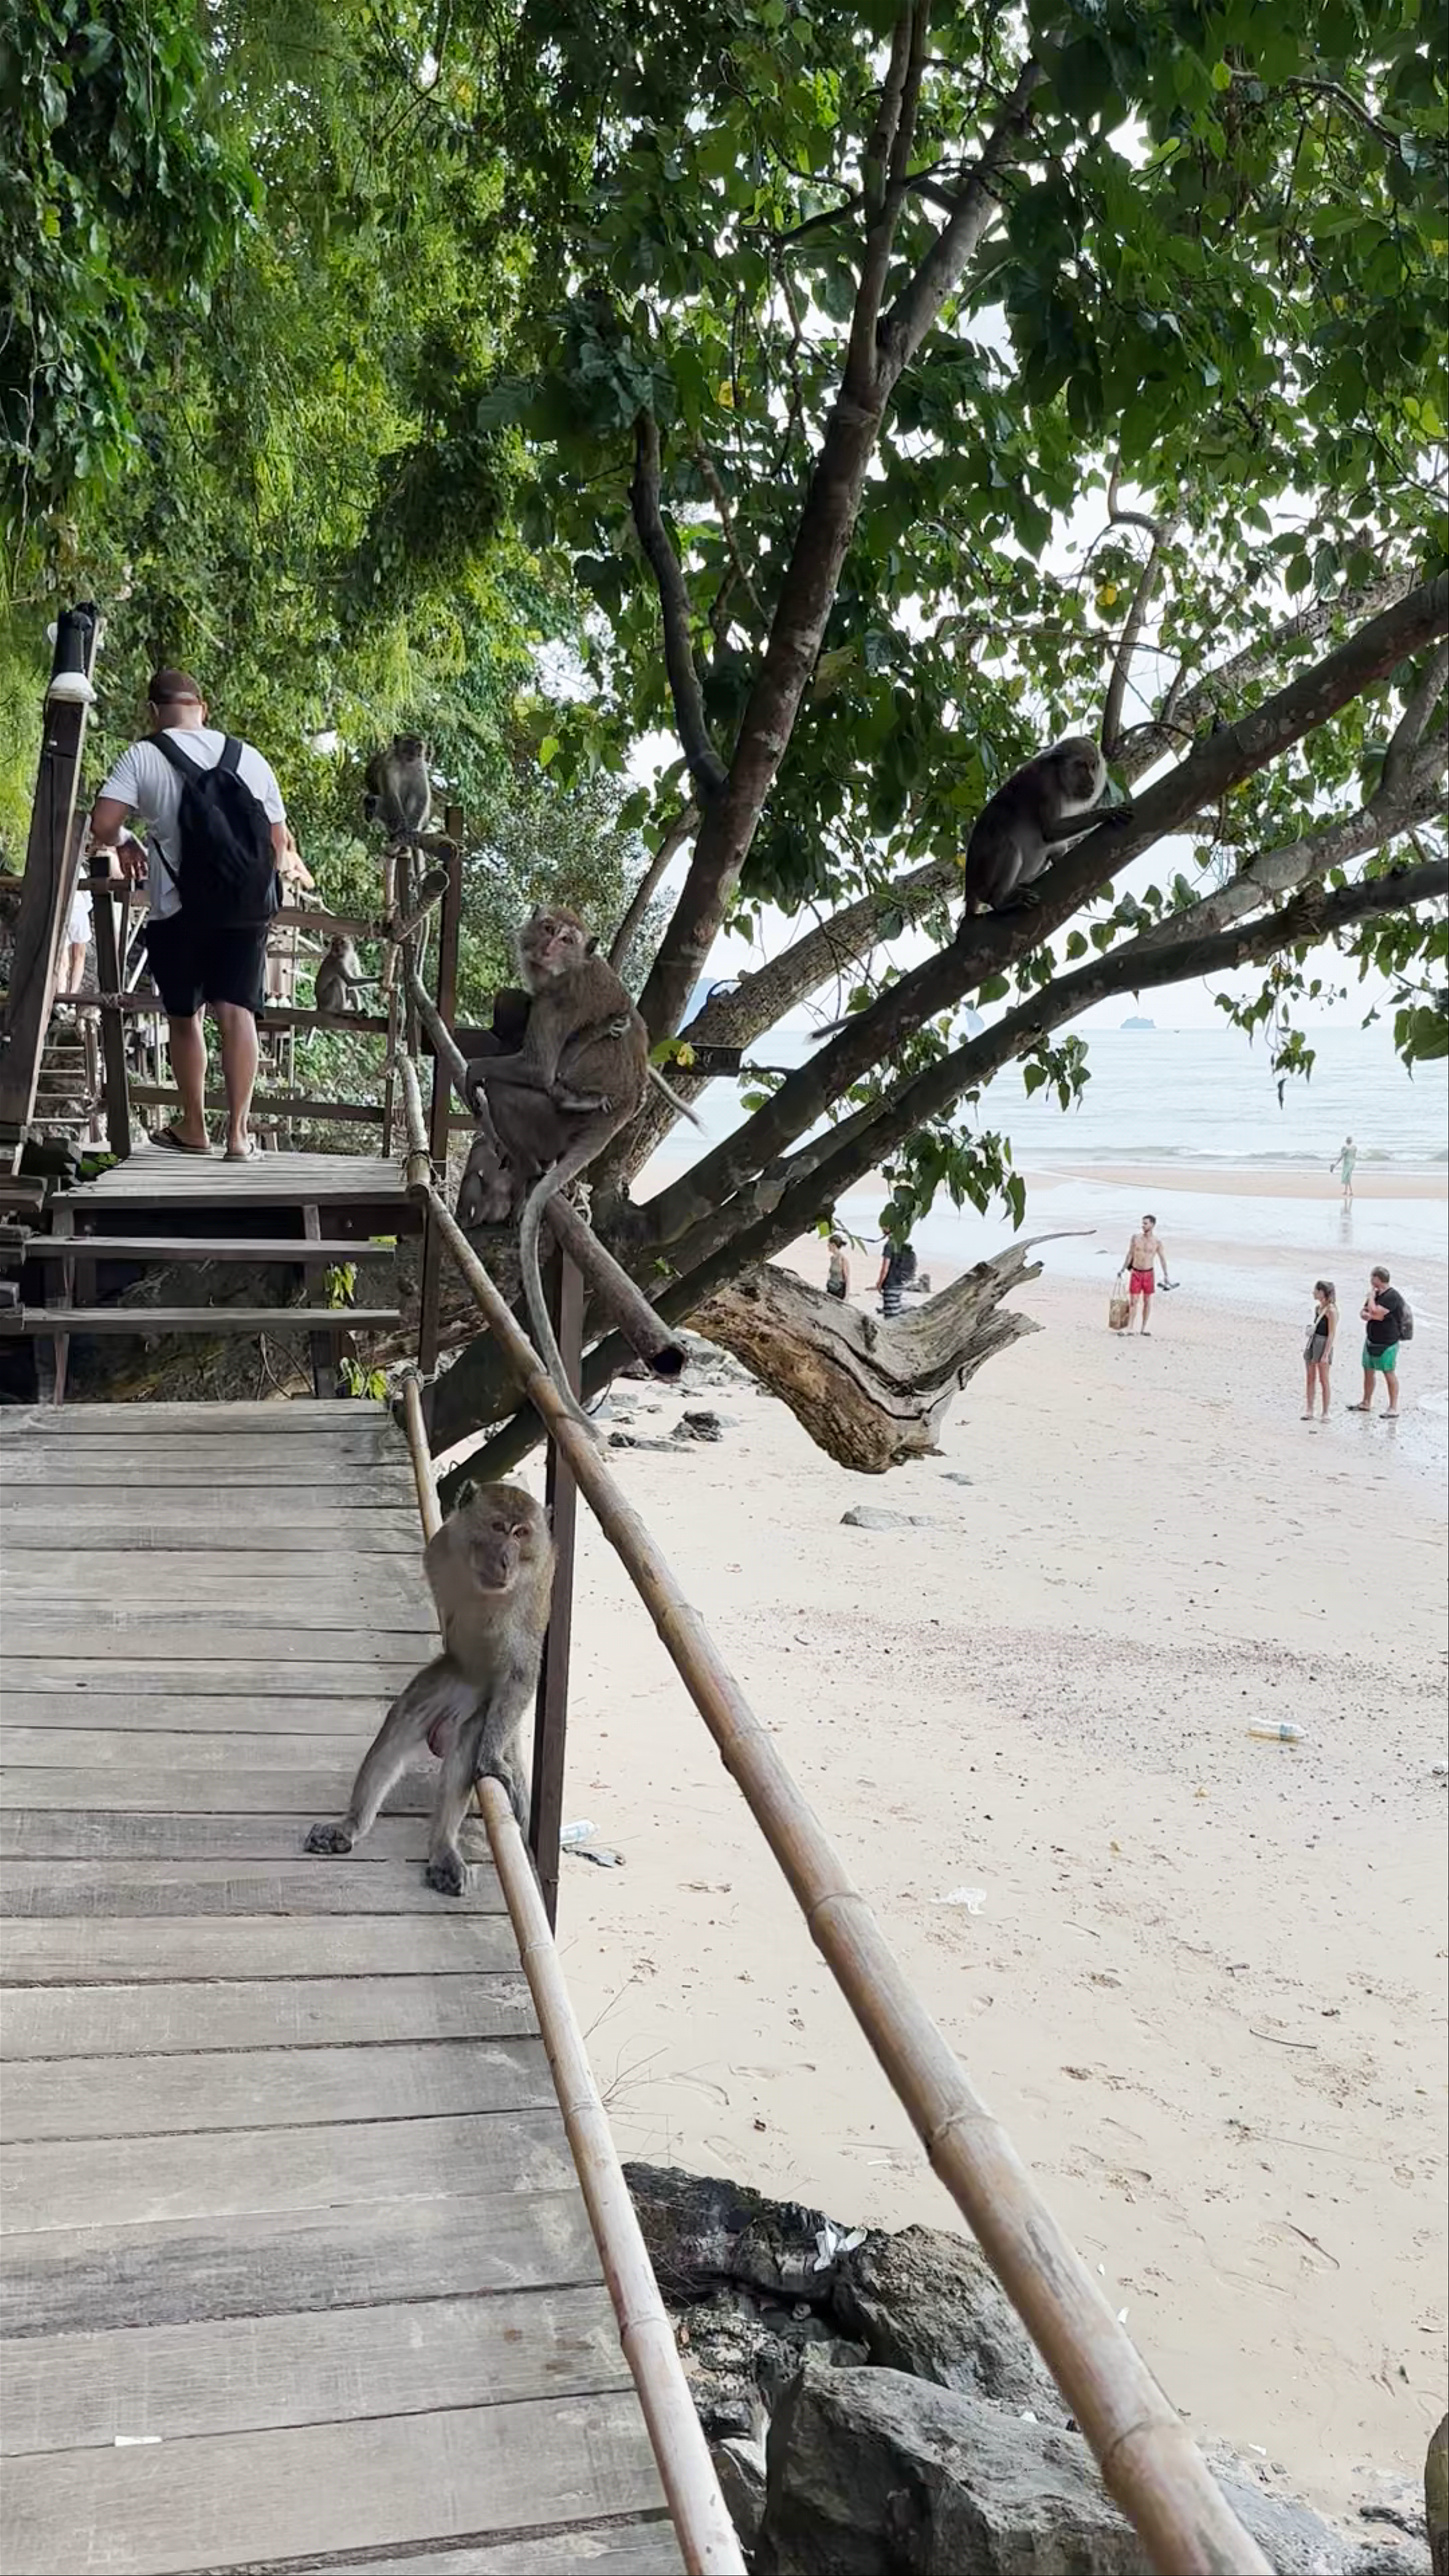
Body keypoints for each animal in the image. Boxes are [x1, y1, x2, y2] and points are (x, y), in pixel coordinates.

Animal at [305, 1484, 554, 1897]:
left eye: (522, 1534)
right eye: (498, 1527)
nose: (506, 1560)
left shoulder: (531, 1593)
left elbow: (521, 1672)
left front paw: (492, 1760)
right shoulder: (438, 1551)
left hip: (484, 1708)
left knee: (469, 1740)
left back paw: (443, 1848)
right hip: (450, 1683)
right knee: (402, 1721)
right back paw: (351, 1824)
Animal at [314, 933, 378, 1014]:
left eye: (342, 942)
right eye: (334, 943)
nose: (336, 949)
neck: (346, 955)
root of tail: (319, 1005)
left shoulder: (354, 957)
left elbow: (357, 977)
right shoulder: (338, 963)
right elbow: (350, 981)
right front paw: (378, 980)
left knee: (349, 988)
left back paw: (358, 1011)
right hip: (326, 1000)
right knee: (337, 981)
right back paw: (340, 1010)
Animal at [363, 734, 432, 842]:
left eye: (419, 746)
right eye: (409, 744)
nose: (418, 752)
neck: (406, 764)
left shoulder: (420, 768)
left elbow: (421, 795)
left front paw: (412, 828)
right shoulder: (388, 766)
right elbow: (391, 794)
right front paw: (401, 828)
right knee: (375, 801)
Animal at [960, 736, 1134, 916]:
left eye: (1093, 766)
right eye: (1082, 766)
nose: (1091, 781)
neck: (1060, 775)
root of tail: (970, 888)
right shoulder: (1047, 783)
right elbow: (1050, 831)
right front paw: (1107, 813)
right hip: (984, 873)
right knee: (1009, 846)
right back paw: (999, 900)